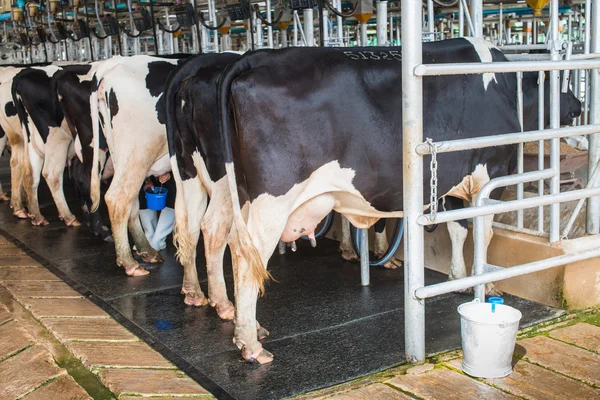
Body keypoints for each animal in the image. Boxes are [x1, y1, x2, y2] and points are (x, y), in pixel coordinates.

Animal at [89, 54, 190, 276]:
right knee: (117, 198)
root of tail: (115, 62)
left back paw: (147, 251)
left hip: (123, 157)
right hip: (137, 152)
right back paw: (129, 262)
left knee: (131, 203)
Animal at [216, 37, 580, 362]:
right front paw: (486, 286)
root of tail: (258, 57)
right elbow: (482, 233)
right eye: (562, 82)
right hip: (273, 199)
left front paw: (458, 278)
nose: (577, 105)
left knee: (228, 240)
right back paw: (251, 345)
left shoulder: (449, 178)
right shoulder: (492, 171)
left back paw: (249, 327)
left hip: (239, 193)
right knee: (247, 255)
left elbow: (458, 229)